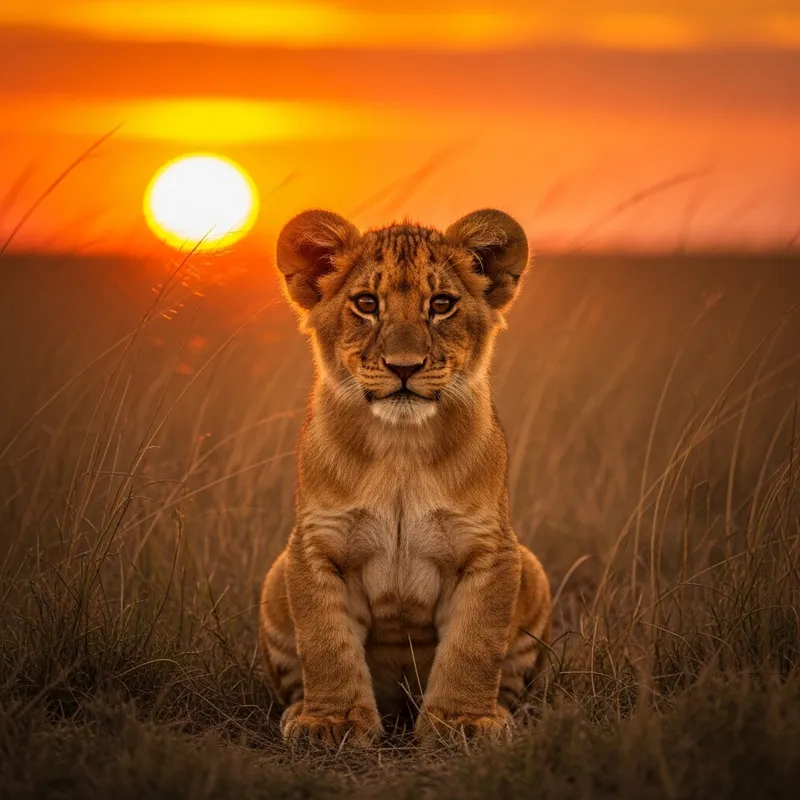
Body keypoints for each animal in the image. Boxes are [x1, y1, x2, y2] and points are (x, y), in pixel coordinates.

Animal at [258, 208, 552, 748]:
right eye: (366, 303)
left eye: (441, 304)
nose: (404, 367)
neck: (401, 449)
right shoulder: (314, 546)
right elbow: (325, 643)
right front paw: (331, 721)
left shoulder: (491, 550)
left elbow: (475, 645)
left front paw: (462, 722)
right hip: (273, 579)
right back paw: (298, 710)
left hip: (533, 570)